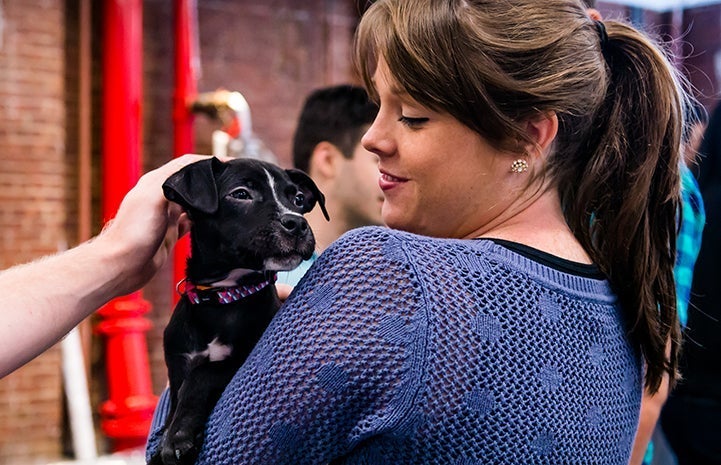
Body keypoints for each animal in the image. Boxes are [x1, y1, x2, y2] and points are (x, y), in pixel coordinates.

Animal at [149, 157, 330, 464]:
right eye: (241, 194)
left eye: (297, 199)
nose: (297, 223)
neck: (223, 298)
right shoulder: (177, 364)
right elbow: (176, 400)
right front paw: (171, 435)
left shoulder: (244, 360)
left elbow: (204, 373)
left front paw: (178, 436)